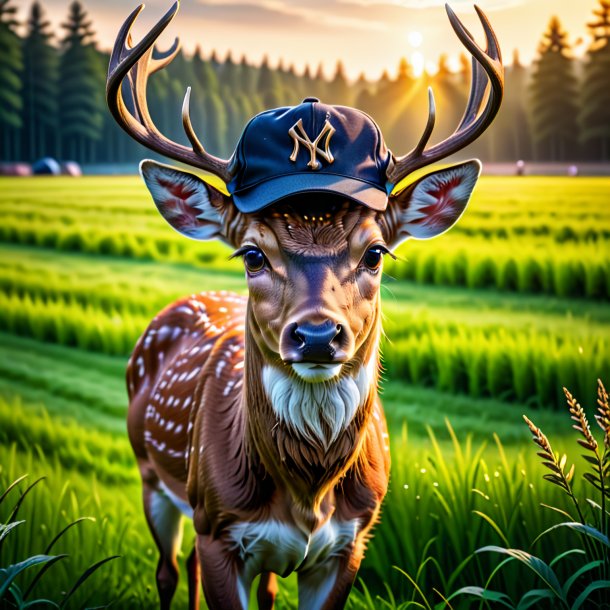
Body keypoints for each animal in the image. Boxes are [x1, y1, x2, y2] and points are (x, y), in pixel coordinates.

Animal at [107, 2, 502, 604]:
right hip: (153, 473)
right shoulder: (219, 530)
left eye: (376, 252)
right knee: (169, 569)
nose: (317, 335)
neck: (308, 496)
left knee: (253, 584)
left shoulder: (352, 542)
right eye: (252, 254)